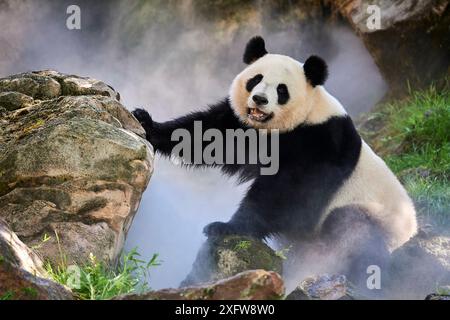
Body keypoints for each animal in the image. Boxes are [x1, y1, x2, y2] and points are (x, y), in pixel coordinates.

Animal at [133, 36, 418, 284]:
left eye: (282, 90)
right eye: (255, 80)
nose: (259, 99)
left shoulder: (320, 143)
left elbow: (284, 194)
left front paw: (226, 227)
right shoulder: (240, 124)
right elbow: (204, 135)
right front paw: (146, 122)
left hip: (370, 212)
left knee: (354, 234)